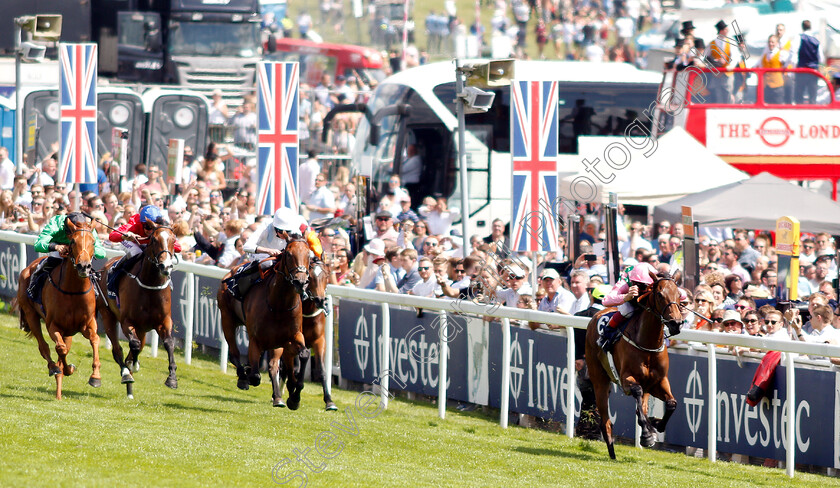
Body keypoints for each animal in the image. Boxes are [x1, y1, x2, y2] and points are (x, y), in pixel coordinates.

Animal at [17, 219, 101, 398]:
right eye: (73, 241)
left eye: (93, 242)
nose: (84, 266)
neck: (73, 291)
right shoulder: (53, 325)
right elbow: (60, 348)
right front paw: (65, 368)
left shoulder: (88, 323)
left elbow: (94, 339)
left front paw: (95, 377)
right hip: (31, 314)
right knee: (44, 347)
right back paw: (54, 370)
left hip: (68, 331)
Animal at [97, 224, 177, 396]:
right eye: (154, 239)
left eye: (174, 240)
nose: (165, 266)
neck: (150, 285)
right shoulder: (127, 321)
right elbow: (134, 345)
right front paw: (132, 366)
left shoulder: (164, 321)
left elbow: (168, 343)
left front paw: (172, 378)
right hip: (108, 315)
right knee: (117, 349)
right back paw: (126, 374)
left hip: (142, 328)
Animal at [218, 236, 310, 408]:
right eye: (288, 254)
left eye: (309, 255)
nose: (300, 282)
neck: (279, 305)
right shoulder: (255, 339)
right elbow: (255, 376)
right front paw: (247, 374)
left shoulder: (292, 336)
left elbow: (304, 355)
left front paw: (294, 397)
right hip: (227, 319)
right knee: (234, 354)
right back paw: (243, 377)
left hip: (277, 343)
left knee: (274, 366)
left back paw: (278, 397)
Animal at [584, 276, 684, 460]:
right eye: (659, 294)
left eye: (679, 294)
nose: (676, 323)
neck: (648, 343)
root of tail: (597, 314)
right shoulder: (626, 380)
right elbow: (637, 392)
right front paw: (647, 434)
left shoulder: (658, 381)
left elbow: (672, 403)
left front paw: (656, 424)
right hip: (599, 381)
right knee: (606, 421)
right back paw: (613, 452)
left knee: (642, 407)